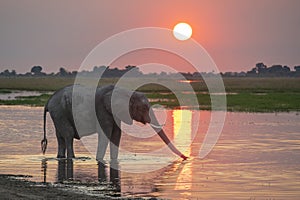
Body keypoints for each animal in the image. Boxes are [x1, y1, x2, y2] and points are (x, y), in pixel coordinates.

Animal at [41, 84, 188, 161]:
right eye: (144, 108)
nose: (185, 157)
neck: (124, 91)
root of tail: (48, 101)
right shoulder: (102, 110)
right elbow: (105, 134)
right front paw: (99, 161)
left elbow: (117, 135)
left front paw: (114, 161)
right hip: (60, 112)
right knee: (68, 135)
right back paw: (72, 158)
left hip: (58, 114)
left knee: (60, 136)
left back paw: (60, 157)